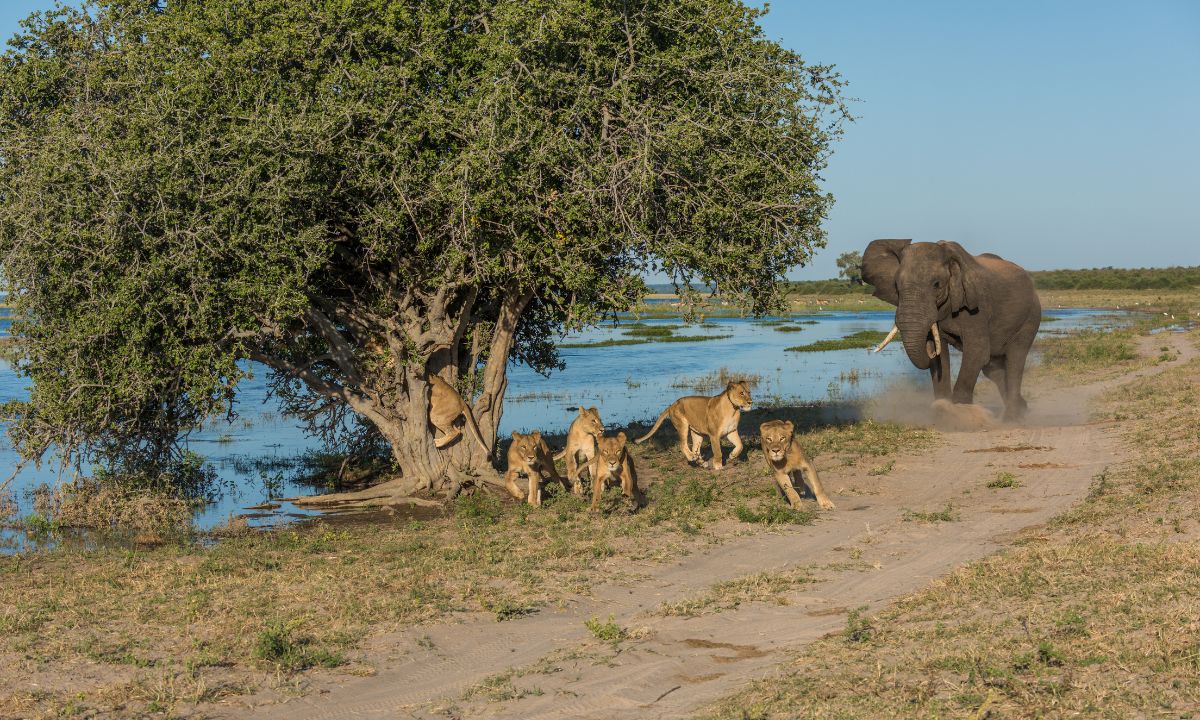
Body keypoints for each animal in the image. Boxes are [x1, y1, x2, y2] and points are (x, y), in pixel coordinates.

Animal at [864, 240, 1041, 422]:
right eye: (896, 287)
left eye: (936, 284)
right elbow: (941, 356)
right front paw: (943, 410)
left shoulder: (977, 307)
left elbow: (977, 352)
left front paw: (960, 412)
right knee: (993, 369)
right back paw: (1022, 408)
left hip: (1031, 317)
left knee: (1015, 360)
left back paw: (1012, 418)